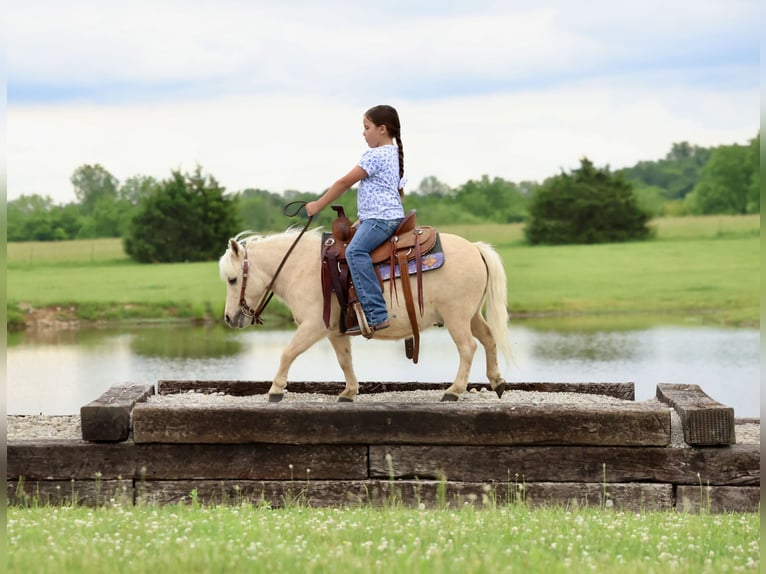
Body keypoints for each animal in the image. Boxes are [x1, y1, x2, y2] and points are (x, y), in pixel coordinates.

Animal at [218, 227, 512, 402]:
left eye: (232, 280)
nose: (230, 318)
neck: (301, 268)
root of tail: (475, 248)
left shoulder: (313, 326)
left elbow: (288, 352)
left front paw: (276, 389)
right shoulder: (335, 332)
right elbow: (345, 360)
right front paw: (349, 392)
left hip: (456, 317)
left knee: (468, 348)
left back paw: (454, 391)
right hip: (471, 315)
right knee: (488, 339)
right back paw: (497, 381)